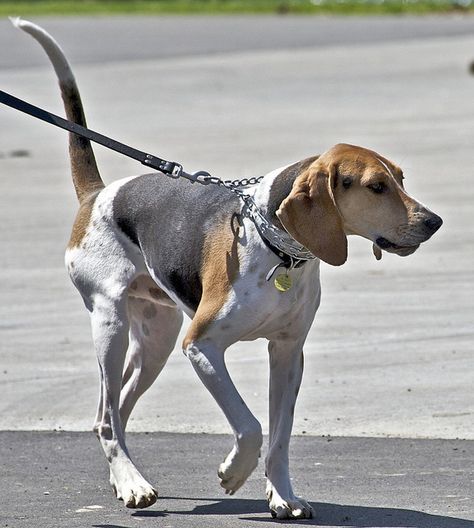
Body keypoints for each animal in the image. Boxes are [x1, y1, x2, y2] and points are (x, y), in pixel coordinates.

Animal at [14, 18, 442, 516]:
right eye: (376, 186)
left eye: (401, 179)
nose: (434, 222)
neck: (280, 251)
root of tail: (98, 193)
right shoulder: (201, 346)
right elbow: (251, 425)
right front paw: (233, 473)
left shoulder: (288, 352)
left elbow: (280, 437)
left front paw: (283, 496)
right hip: (111, 324)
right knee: (106, 416)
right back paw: (133, 484)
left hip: (155, 340)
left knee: (116, 408)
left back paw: (126, 480)